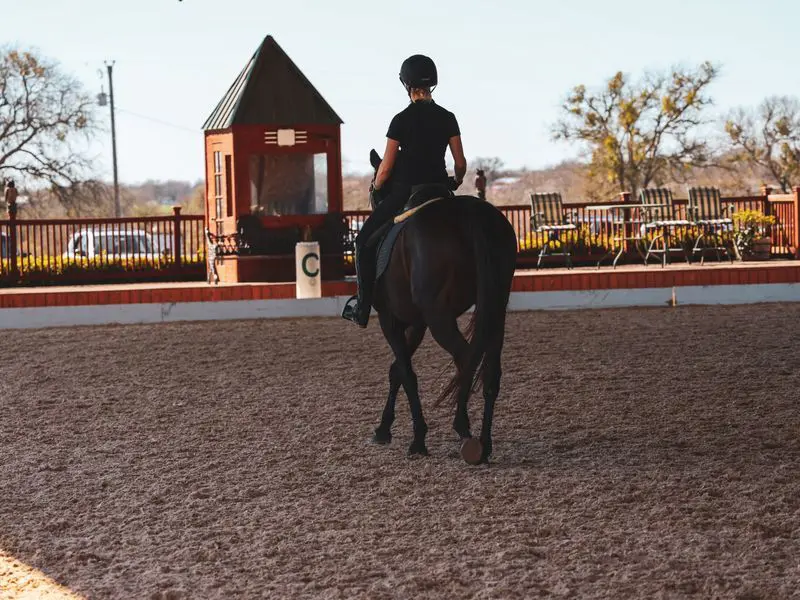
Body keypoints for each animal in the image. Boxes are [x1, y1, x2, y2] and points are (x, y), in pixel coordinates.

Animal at [364, 149, 516, 464]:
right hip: (496, 309)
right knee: (490, 370)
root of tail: (469, 216)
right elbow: (397, 370)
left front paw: (417, 439)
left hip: (439, 318)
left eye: (373, 184)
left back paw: (464, 431)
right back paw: (485, 443)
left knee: (465, 357)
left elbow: (406, 373)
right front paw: (384, 429)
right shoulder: (416, 323)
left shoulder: (390, 319)